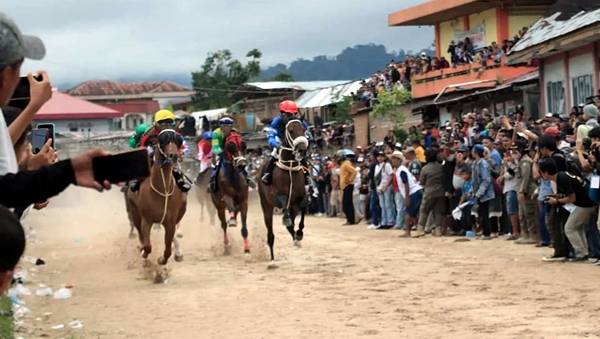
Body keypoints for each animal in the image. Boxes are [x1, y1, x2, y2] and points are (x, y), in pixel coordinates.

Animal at [127, 129, 189, 270]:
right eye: (163, 140)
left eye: (177, 140)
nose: (173, 156)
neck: (163, 188)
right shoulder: (146, 219)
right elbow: (147, 245)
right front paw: (144, 256)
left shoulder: (170, 220)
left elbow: (168, 250)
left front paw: (162, 259)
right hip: (134, 211)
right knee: (140, 234)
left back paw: (178, 252)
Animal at [256, 117, 308, 268]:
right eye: (290, 130)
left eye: (303, 129)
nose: (302, 149)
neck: (289, 166)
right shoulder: (278, 195)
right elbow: (283, 202)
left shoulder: (299, 197)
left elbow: (303, 207)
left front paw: (299, 233)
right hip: (266, 204)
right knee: (271, 233)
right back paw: (272, 260)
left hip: (292, 207)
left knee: (291, 223)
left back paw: (295, 236)